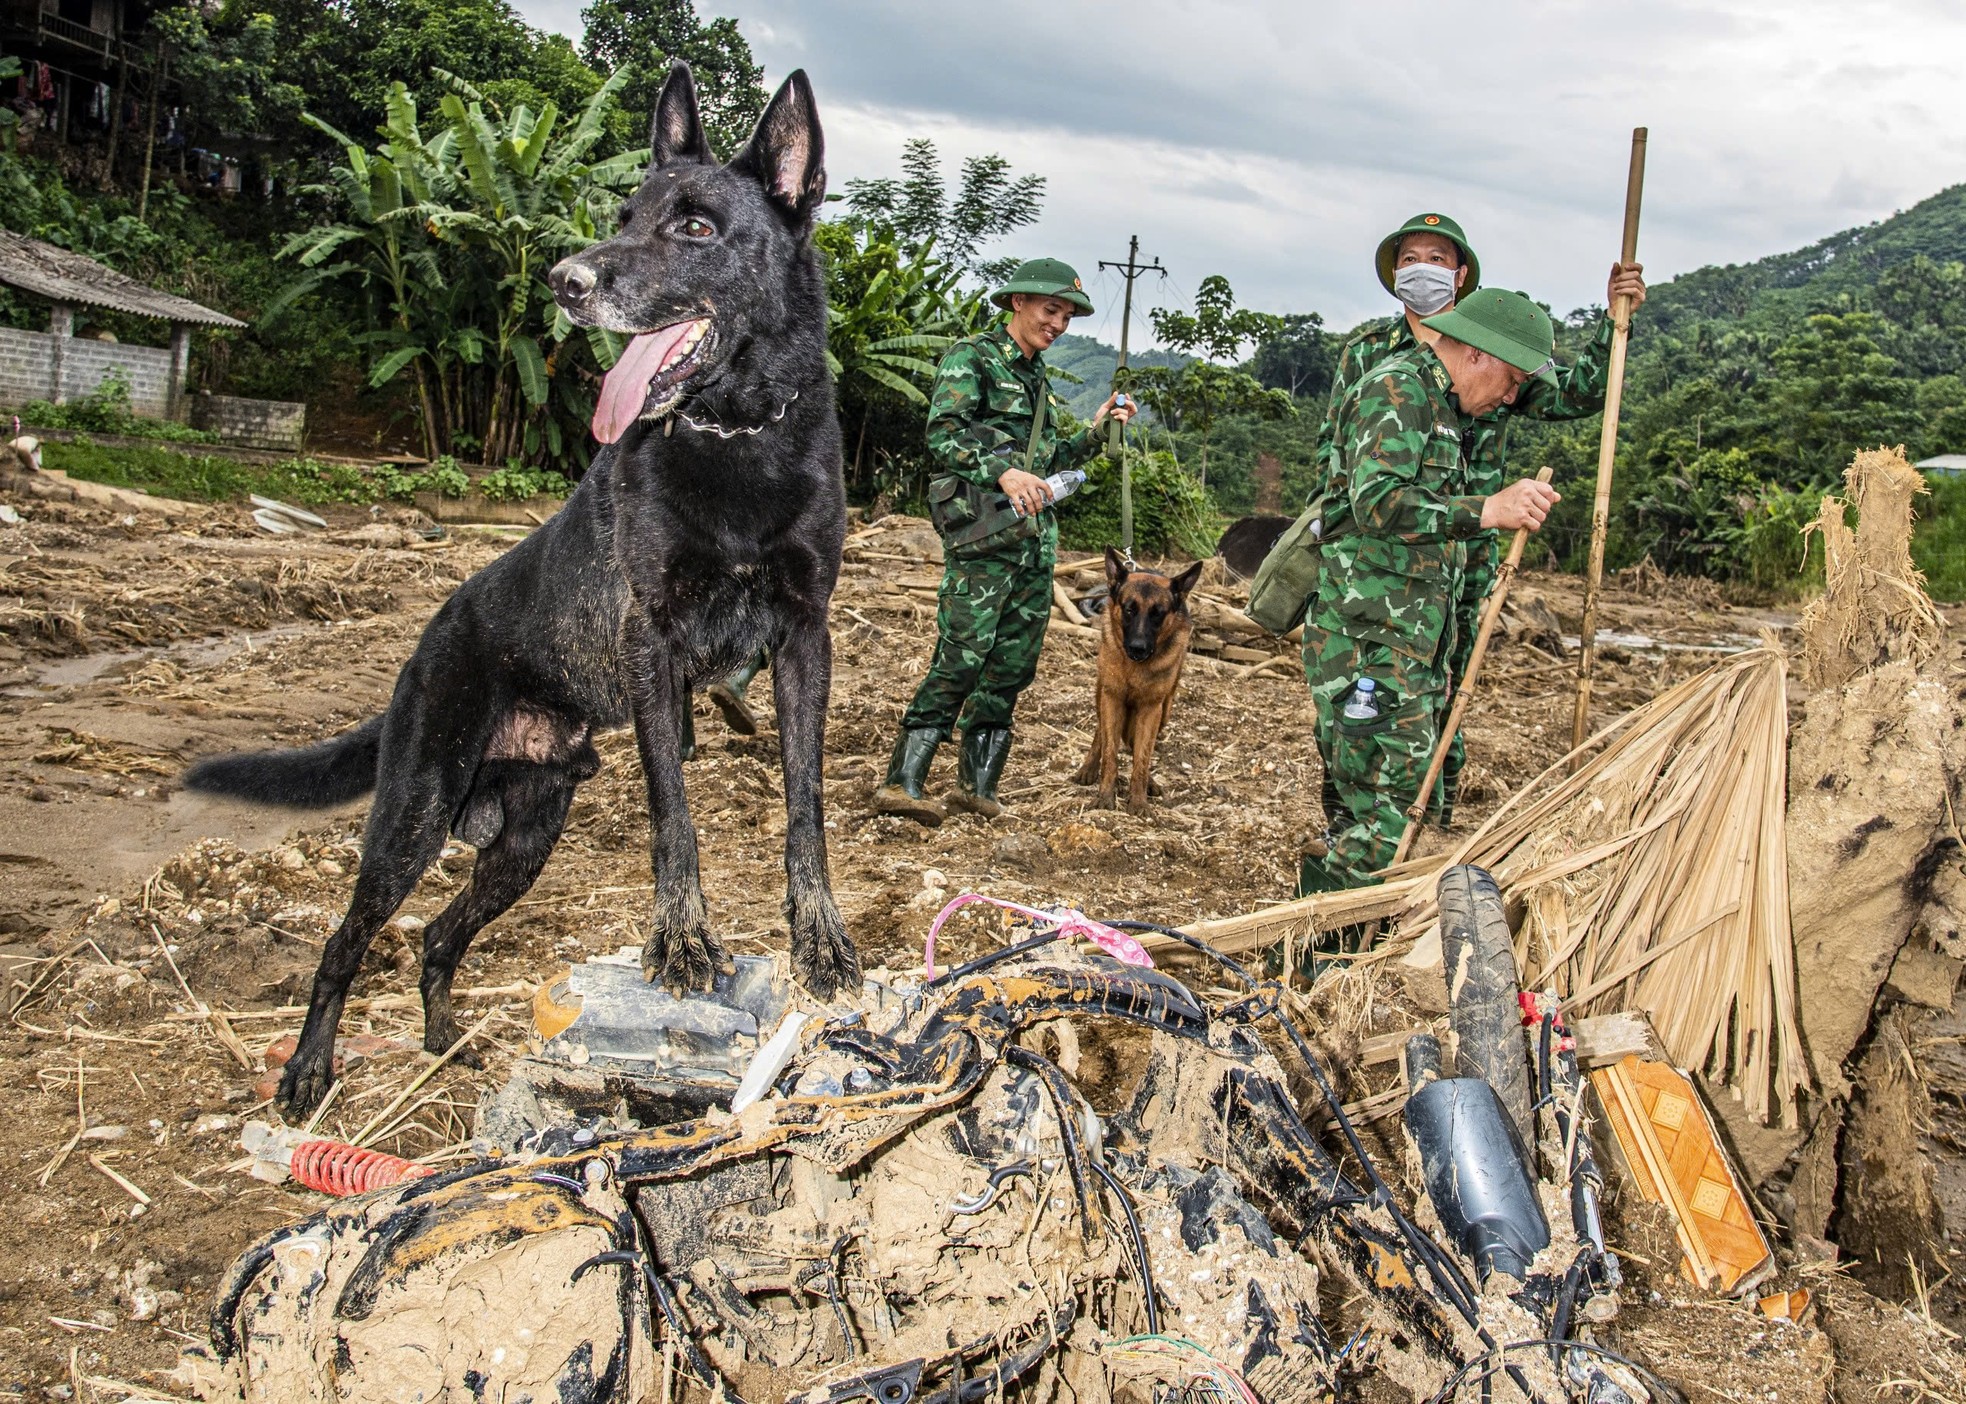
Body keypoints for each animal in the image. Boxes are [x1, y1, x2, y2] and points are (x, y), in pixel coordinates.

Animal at [184, 65, 853, 1116]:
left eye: (695, 227)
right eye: (623, 217)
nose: (565, 282)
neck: (737, 435)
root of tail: (425, 649)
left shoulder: (804, 640)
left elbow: (805, 804)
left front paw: (818, 935)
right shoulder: (652, 645)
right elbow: (674, 818)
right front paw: (682, 940)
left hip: (525, 839)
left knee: (435, 935)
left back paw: (442, 1039)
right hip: (413, 817)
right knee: (346, 940)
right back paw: (307, 1070)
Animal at [1069, 542, 1203, 810]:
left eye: (1158, 613)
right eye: (1129, 610)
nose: (1138, 648)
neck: (1134, 668)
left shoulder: (1151, 709)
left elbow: (1142, 756)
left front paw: (1139, 800)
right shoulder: (1112, 699)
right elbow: (1110, 752)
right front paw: (1105, 796)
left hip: (1164, 711)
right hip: (1102, 697)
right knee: (1100, 735)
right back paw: (1088, 769)